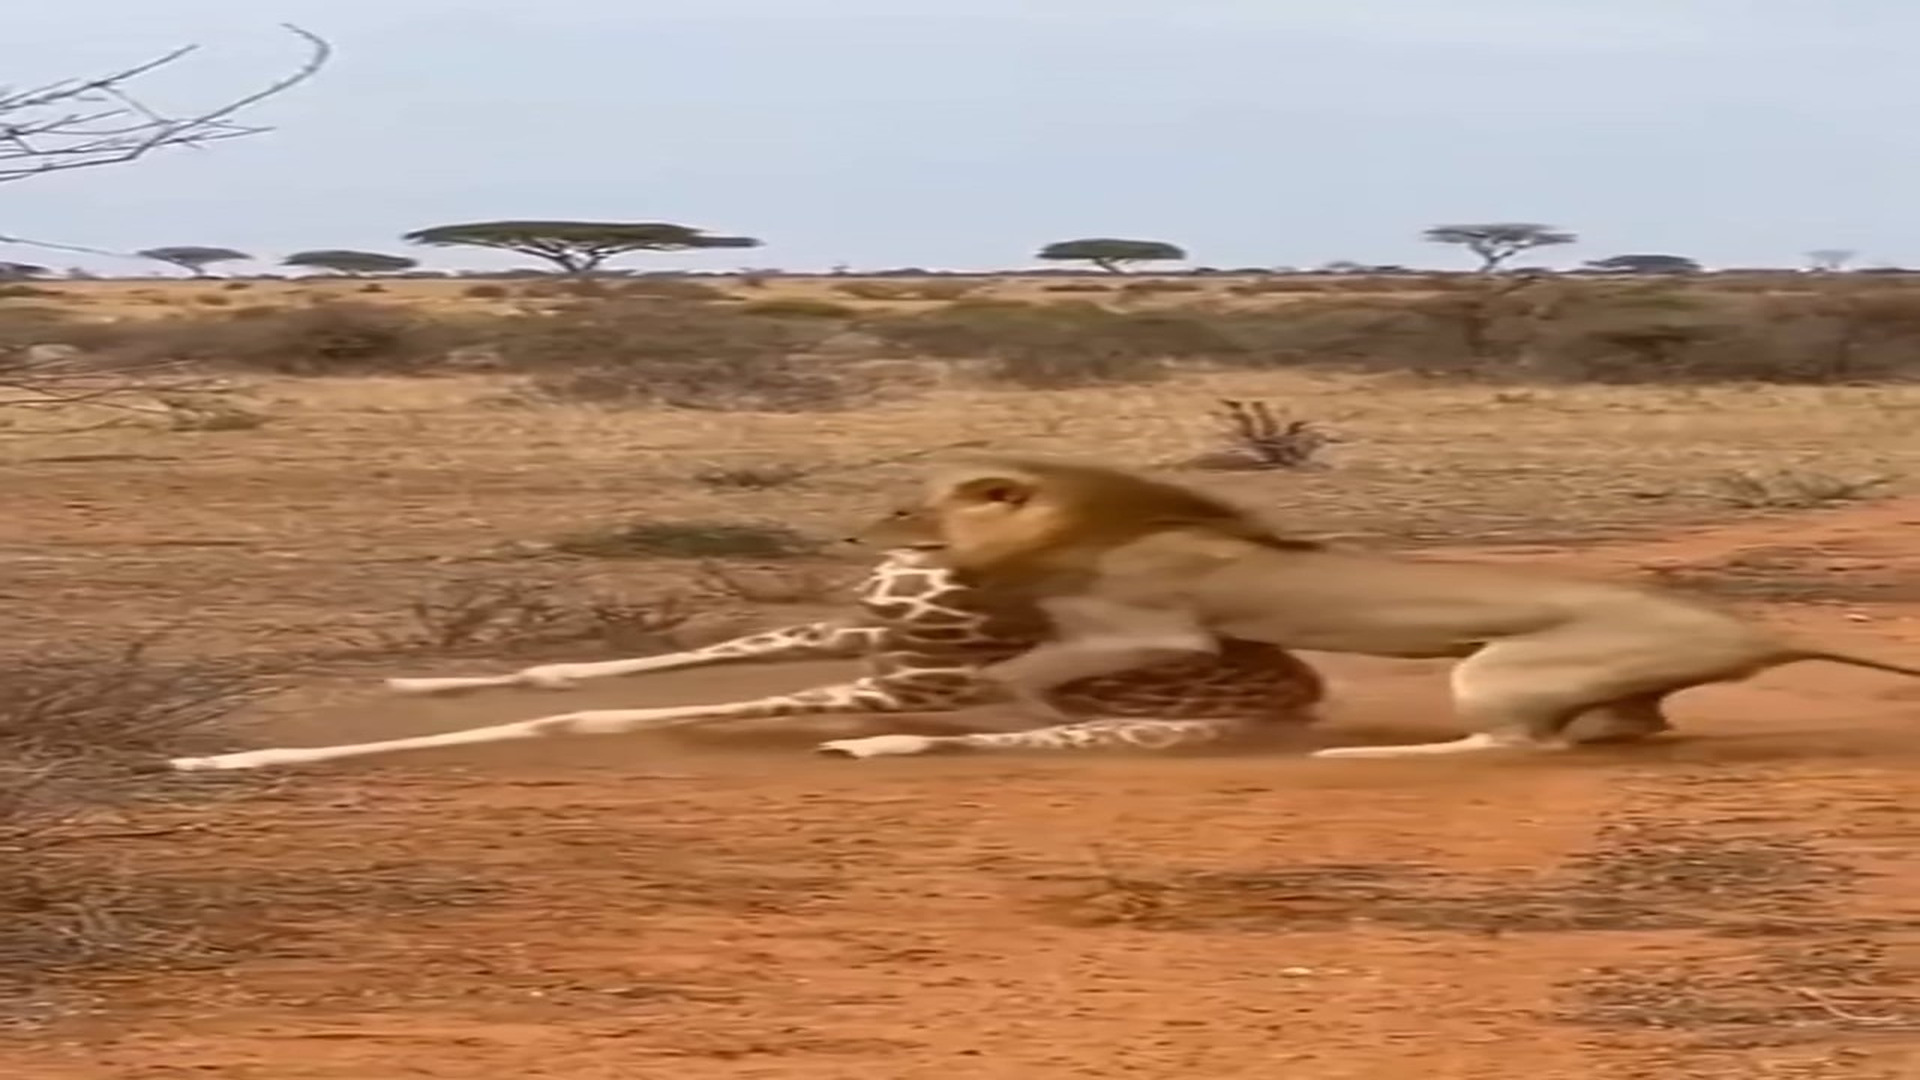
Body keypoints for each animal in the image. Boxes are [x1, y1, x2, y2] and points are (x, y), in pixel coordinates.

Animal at [852, 455, 1920, 758]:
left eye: (920, 501)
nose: (878, 525)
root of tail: (1758, 626)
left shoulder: (1155, 628)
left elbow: (1029, 666)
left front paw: (1012, 700)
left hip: (1495, 669)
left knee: (1509, 747)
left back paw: (1359, 754)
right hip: (1611, 688)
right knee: (1625, 729)